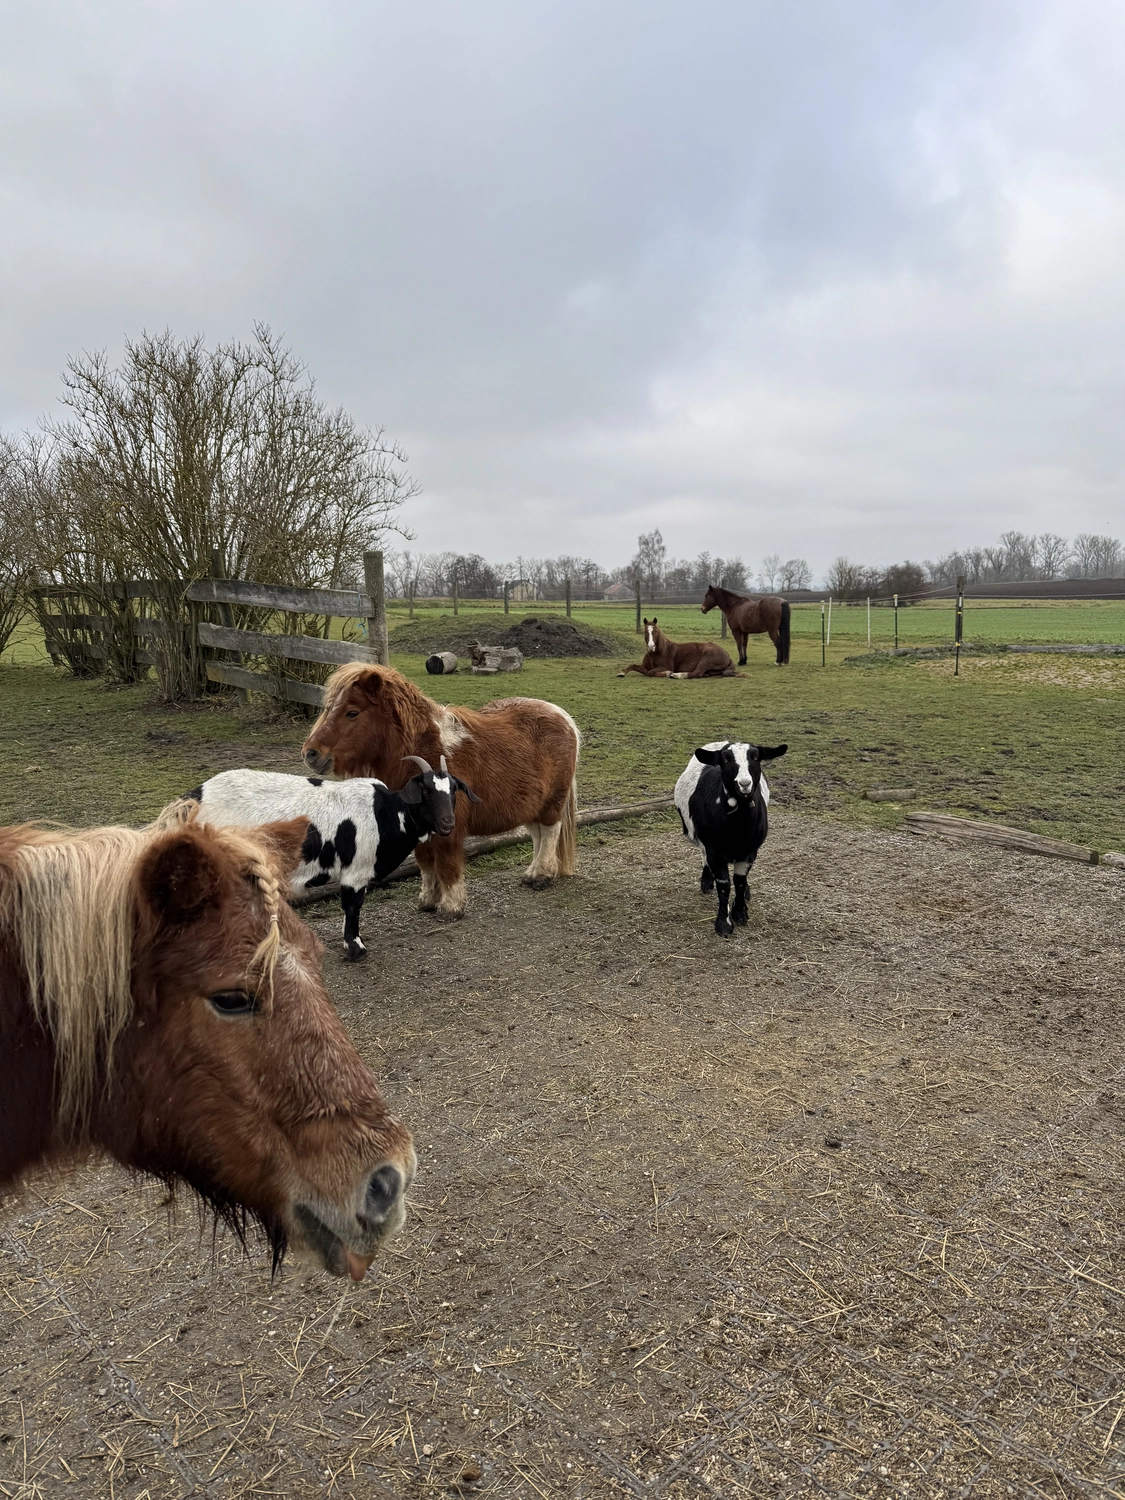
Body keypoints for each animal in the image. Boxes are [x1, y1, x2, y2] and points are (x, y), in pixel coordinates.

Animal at [303, 663, 580, 917]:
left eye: (352, 712)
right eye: (328, 708)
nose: (311, 753)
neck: (424, 753)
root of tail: (561, 715)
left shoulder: (449, 827)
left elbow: (446, 861)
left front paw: (451, 906)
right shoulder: (418, 824)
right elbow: (425, 861)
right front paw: (428, 899)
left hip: (552, 803)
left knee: (549, 832)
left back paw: (542, 875)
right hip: (532, 805)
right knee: (537, 835)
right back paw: (533, 872)